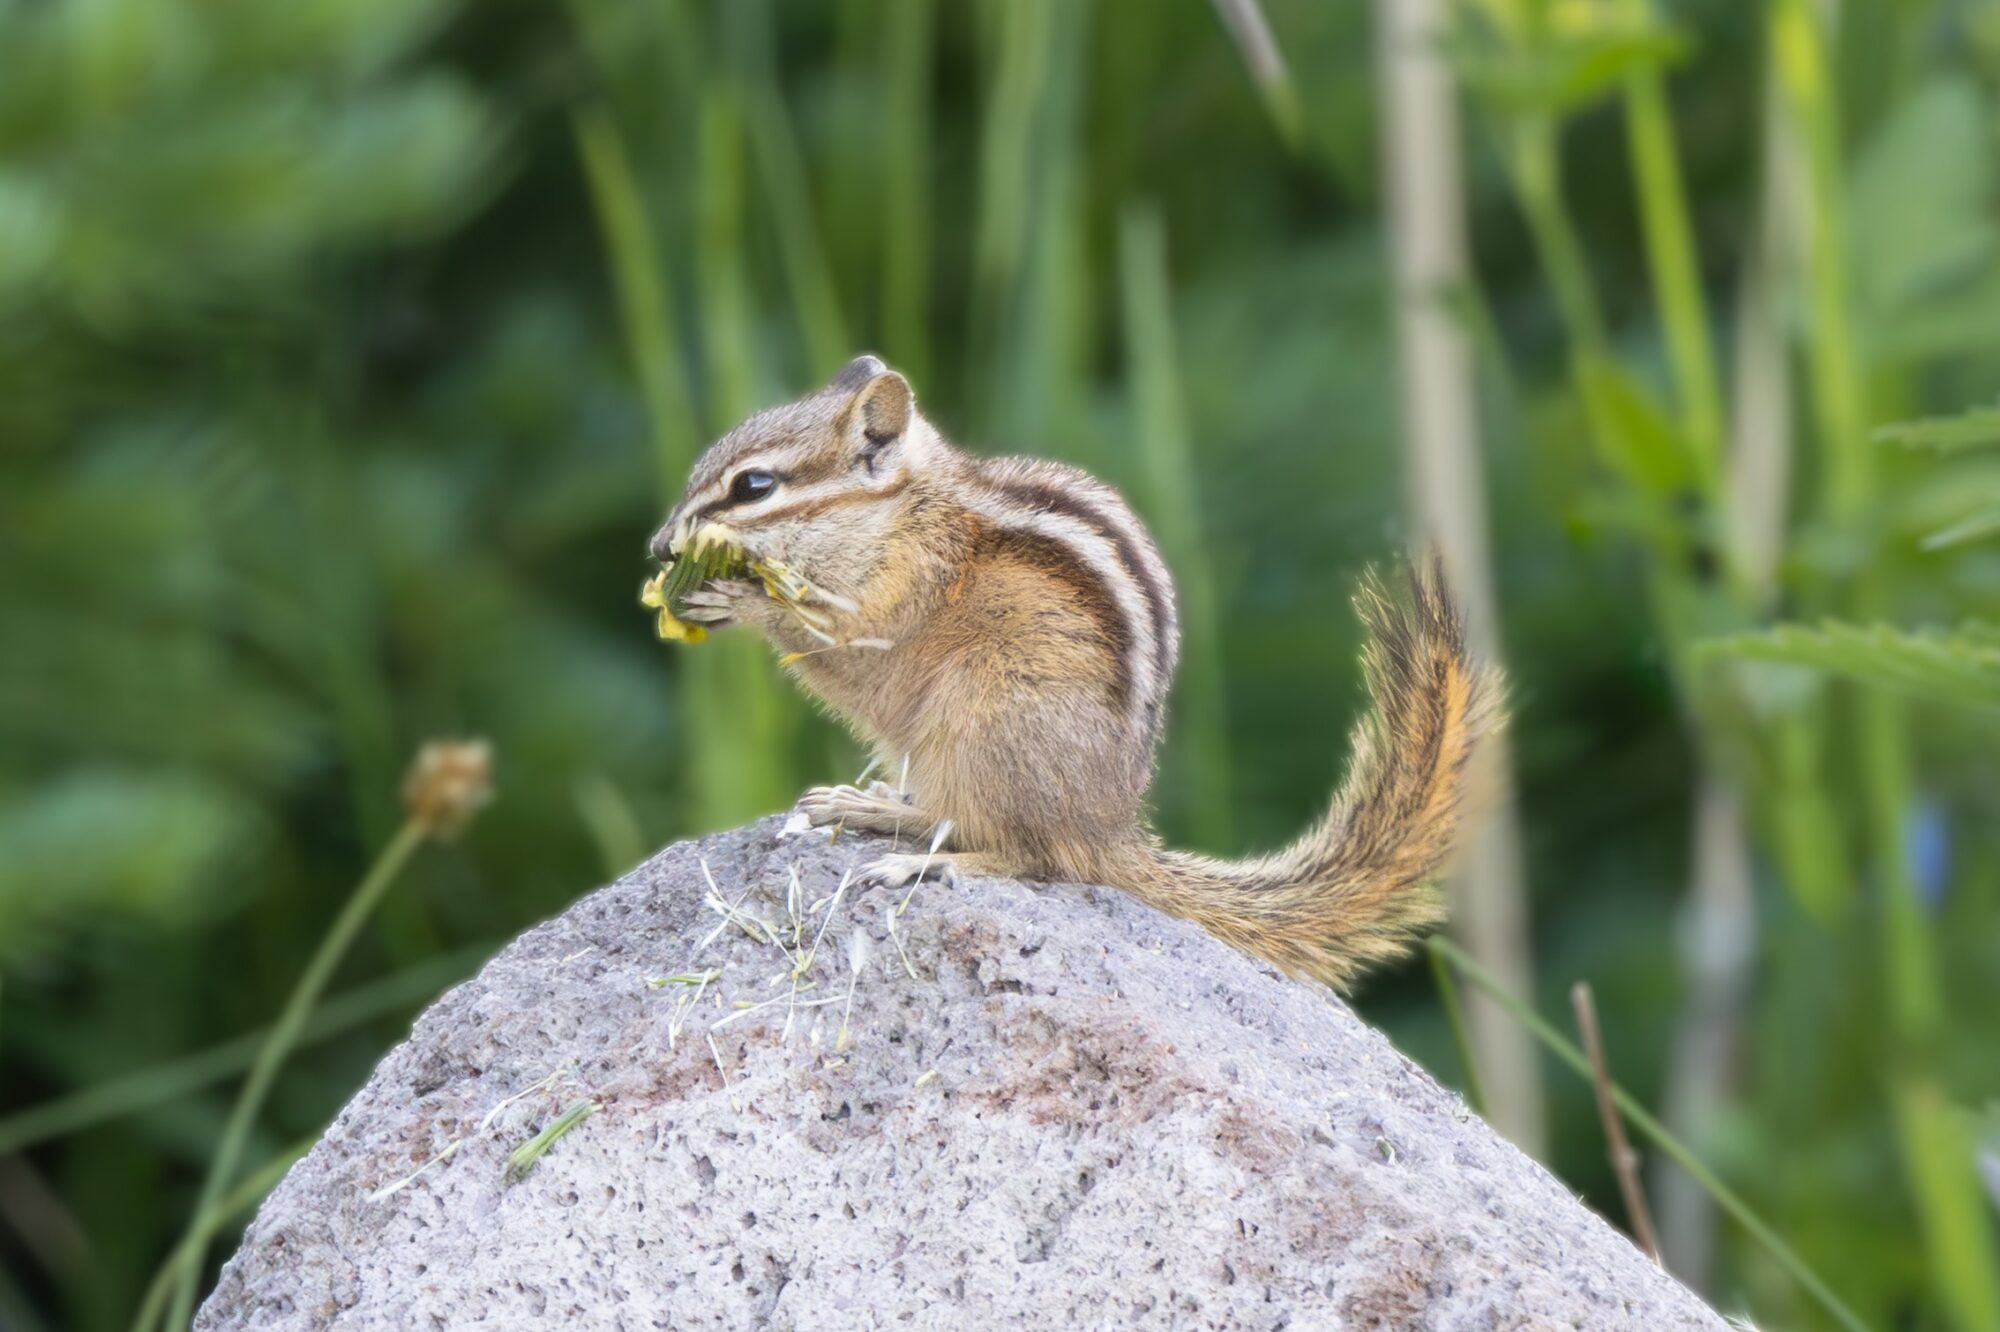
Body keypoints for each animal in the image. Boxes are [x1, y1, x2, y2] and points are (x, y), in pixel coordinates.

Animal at [649, 354, 1503, 990]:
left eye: (754, 487)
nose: (659, 546)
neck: (897, 512)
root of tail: (1108, 826)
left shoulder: (903, 593)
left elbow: (848, 645)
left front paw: (732, 594)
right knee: (959, 818)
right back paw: (873, 810)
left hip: (987, 721)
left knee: (1036, 858)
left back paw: (925, 865)